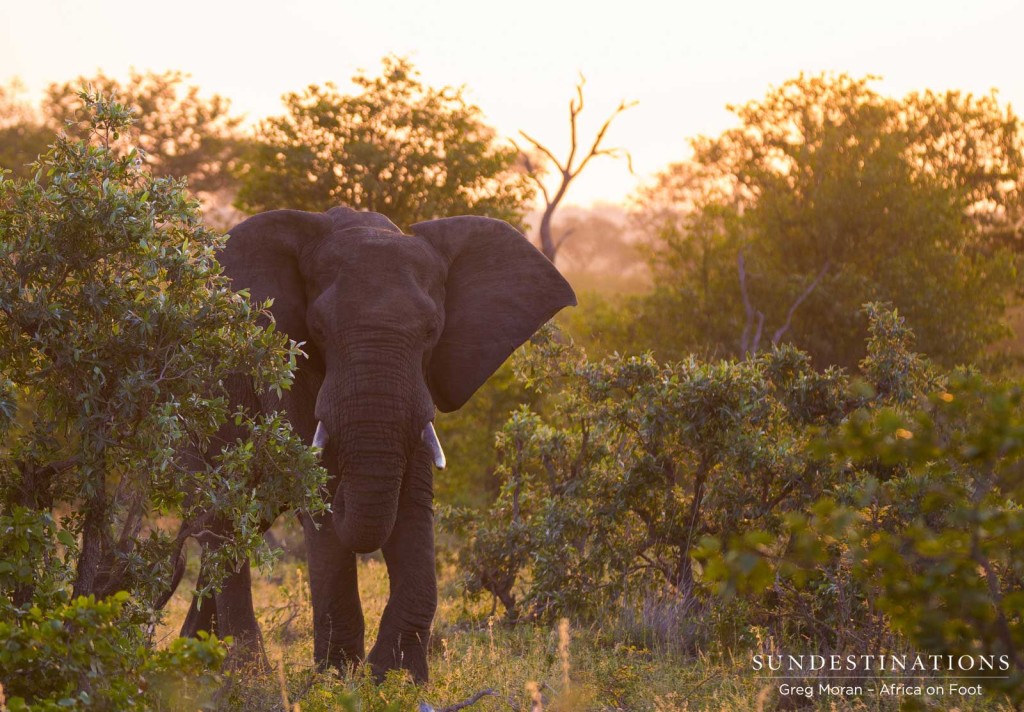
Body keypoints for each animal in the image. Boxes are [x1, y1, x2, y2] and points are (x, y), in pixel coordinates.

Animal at [176, 202, 577, 684]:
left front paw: (395, 678)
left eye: (431, 331)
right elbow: (320, 497)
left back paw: (195, 658)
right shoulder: (285, 365)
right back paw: (245, 673)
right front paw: (335, 679)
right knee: (222, 518)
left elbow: (413, 499)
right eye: (318, 330)